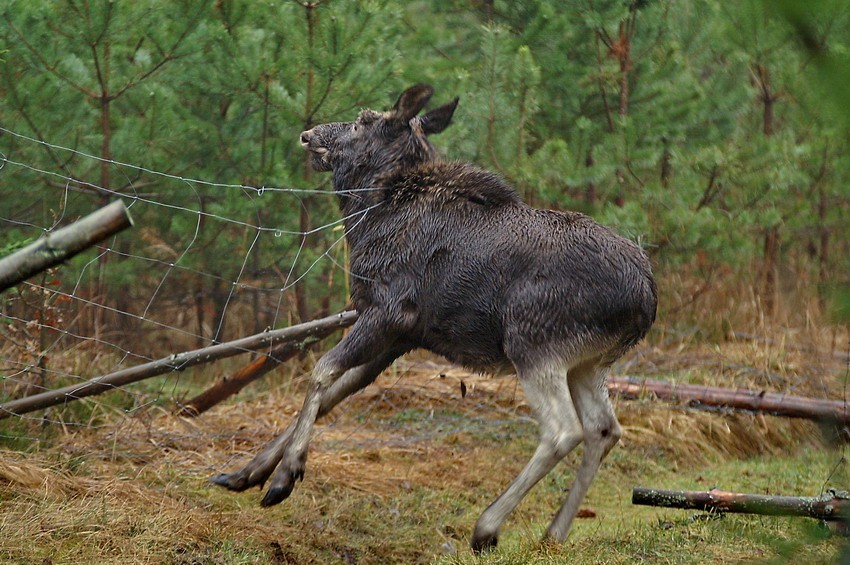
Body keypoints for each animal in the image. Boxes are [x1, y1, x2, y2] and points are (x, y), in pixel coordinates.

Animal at [210, 83, 656, 552]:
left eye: (362, 121)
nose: (308, 134)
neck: (367, 216)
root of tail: (646, 297)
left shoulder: (386, 312)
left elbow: (320, 372)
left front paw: (286, 475)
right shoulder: (402, 338)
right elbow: (334, 393)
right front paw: (246, 472)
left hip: (533, 343)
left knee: (564, 429)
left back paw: (488, 525)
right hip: (588, 362)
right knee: (605, 428)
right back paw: (553, 532)